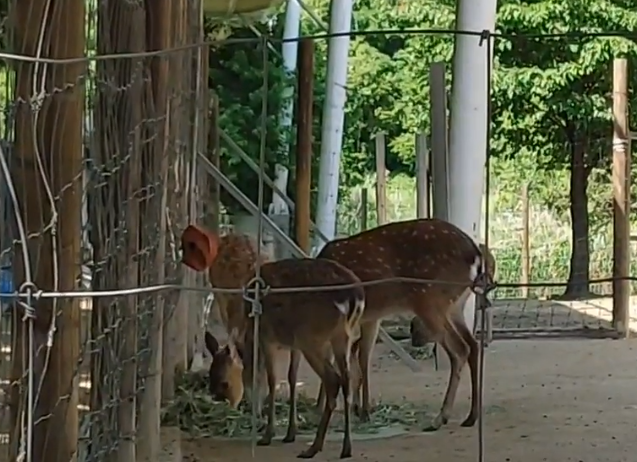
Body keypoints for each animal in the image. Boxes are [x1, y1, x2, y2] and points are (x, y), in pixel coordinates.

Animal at [205, 258, 365, 459]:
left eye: (225, 383)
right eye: (210, 378)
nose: (223, 407)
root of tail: (354, 298)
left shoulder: (268, 338)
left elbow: (270, 379)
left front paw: (267, 434)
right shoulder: (293, 346)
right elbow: (291, 377)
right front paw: (290, 433)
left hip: (310, 337)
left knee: (333, 380)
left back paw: (313, 448)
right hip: (343, 337)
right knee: (348, 379)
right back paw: (346, 447)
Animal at [314, 218, 490, 432]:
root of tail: (476, 256)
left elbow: (348, 359)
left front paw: (355, 410)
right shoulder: (371, 317)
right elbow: (361, 356)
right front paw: (359, 409)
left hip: (429, 299)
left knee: (460, 349)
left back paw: (440, 418)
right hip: (456, 305)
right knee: (473, 345)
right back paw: (471, 416)